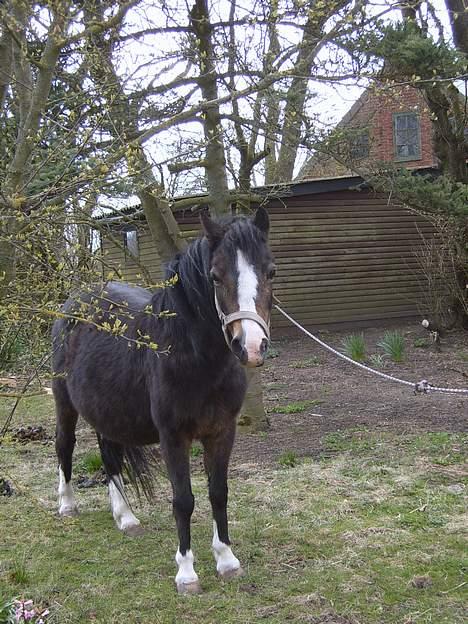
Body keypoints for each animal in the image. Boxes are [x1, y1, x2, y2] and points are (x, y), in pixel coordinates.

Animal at [52, 210, 274, 596]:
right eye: (215, 276)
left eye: (270, 271)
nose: (251, 346)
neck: (192, 355)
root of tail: (74, 302)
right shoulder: (173, 437)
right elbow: (183, 500)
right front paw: (187, 573)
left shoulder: (222, 431)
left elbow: (218, 493)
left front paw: (227, 560)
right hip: (65, 403)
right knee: (65, 445)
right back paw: (67, 505)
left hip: (106, 410)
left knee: (110, 456)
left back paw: (126, 518)